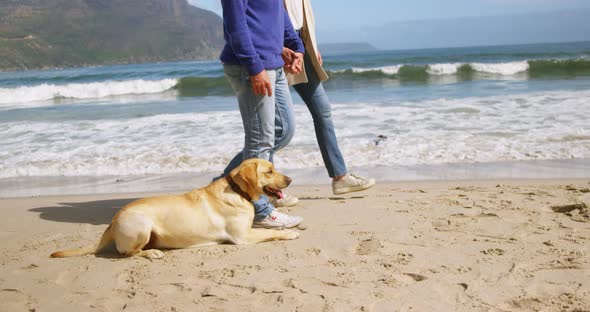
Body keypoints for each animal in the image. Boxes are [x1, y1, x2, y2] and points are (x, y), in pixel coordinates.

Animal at [51, 158, 300, 258]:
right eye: (269, 171)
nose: (290, 180)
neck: (237, 190)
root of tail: (113, 220)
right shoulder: (243, 236)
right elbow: (270, 233)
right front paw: (289, 233)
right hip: (141, 225)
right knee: (127, 253)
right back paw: (151, 253)